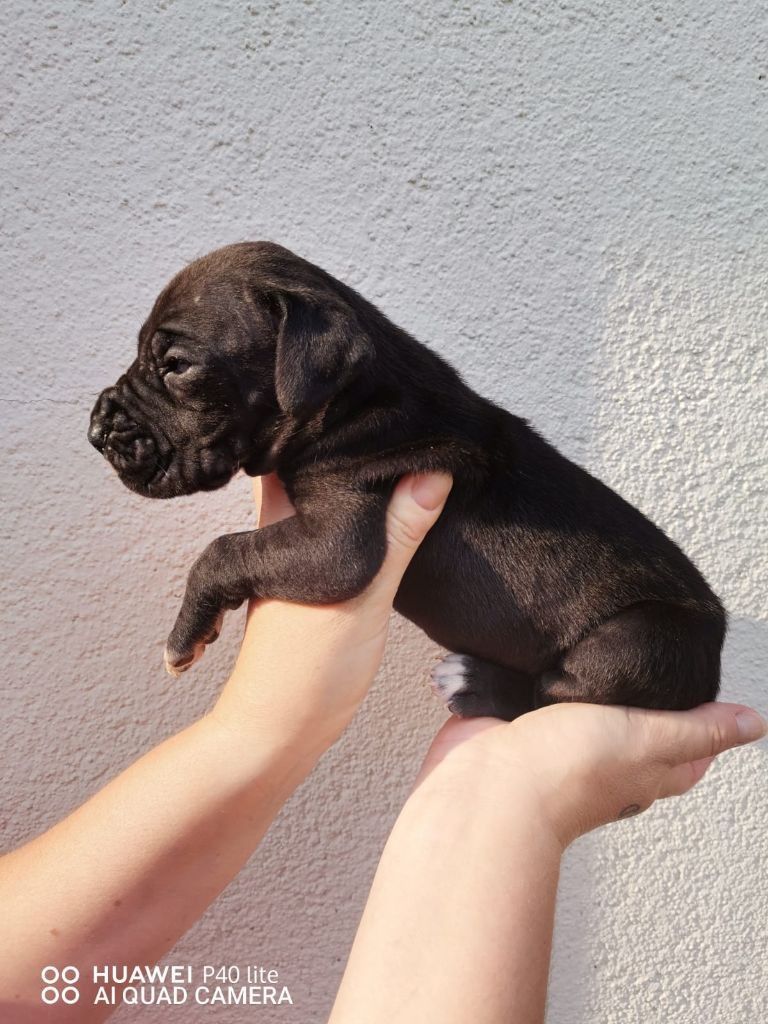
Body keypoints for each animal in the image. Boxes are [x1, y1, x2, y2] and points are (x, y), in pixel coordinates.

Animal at [88, 242, 726, 719]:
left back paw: (477, 685)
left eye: (176, 366)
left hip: (638, 642)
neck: (349, 399)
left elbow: (224, 550)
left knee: (557, 691)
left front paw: (184, 636)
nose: (95, 431)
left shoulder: (339, 543)